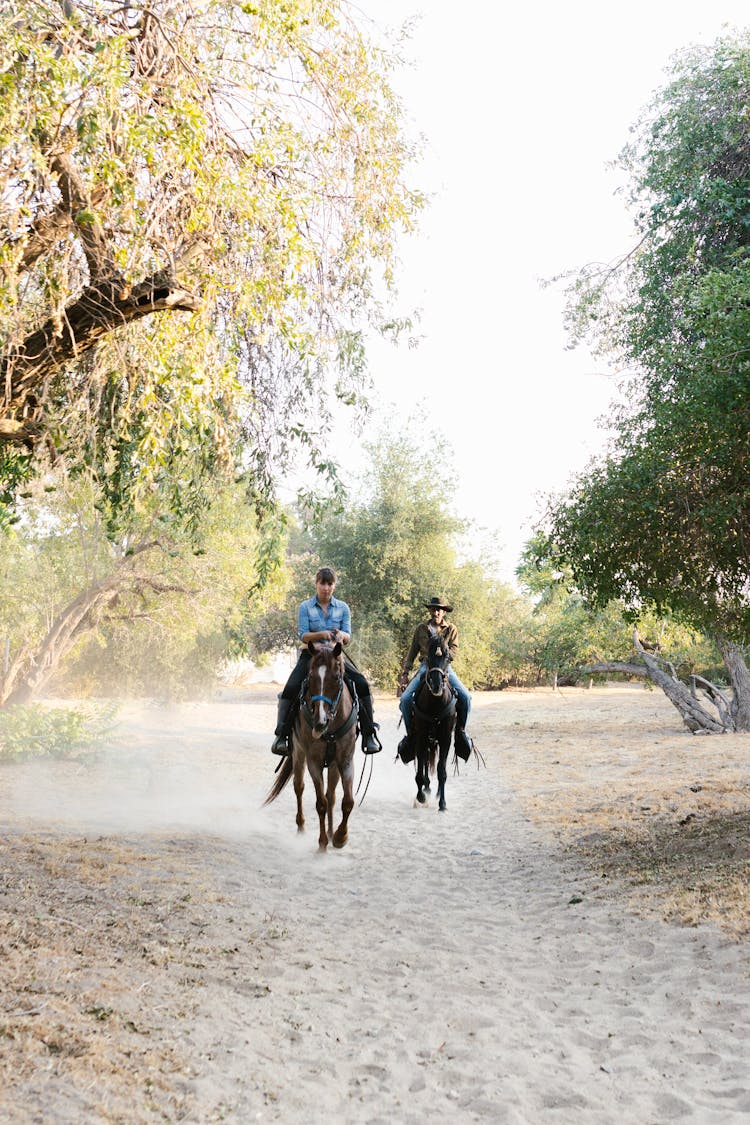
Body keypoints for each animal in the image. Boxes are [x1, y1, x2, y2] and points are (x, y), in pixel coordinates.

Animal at [263, 643, 359, 850]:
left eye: (336, 677)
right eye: (311, 677)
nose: (320, 722)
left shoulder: (346, 760)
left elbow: (347, 801)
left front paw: (340, 837)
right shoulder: (313, 761)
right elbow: (320, 803)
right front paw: (322, 843)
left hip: (333, 764)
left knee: (331, 795)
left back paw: (331, 832)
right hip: (298, 754)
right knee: (299, 787)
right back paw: (301, 828)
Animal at [411, 634, 458, 810]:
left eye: (447, 657)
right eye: (428, 657)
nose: (436, 685)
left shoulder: (445, 739)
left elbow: (441, 771)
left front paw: (442, 803)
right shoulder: (421, 736)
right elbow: (420, 768)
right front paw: (421, 796)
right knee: (425, 762)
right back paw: (426, 788)